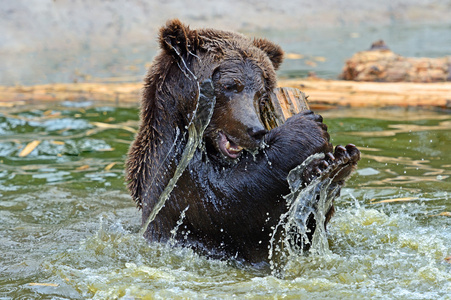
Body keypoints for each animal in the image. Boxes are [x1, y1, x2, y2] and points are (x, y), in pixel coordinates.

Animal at [126, 19, 360, 264]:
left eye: (262, 93)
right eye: (230, 85)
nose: (256, 130)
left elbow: (300, 229)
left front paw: (338, 159)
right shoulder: (177, 176)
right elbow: (231, 203)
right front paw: (308, 128)